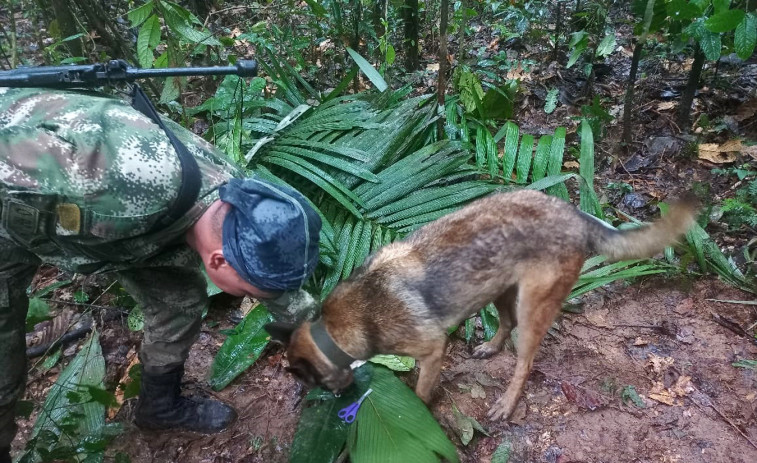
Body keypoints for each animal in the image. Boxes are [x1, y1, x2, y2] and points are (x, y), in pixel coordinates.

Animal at [268, 190, 696, 422]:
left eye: (312, 383)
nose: (337, 400)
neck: (335, 328)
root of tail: (575, 214)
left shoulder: (432, 349)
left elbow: (420, 391)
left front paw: (417, 410)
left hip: (532, 307)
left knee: (525, 361)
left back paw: (506, 403)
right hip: (499, 290)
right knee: (504, 325)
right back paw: (490, 347)